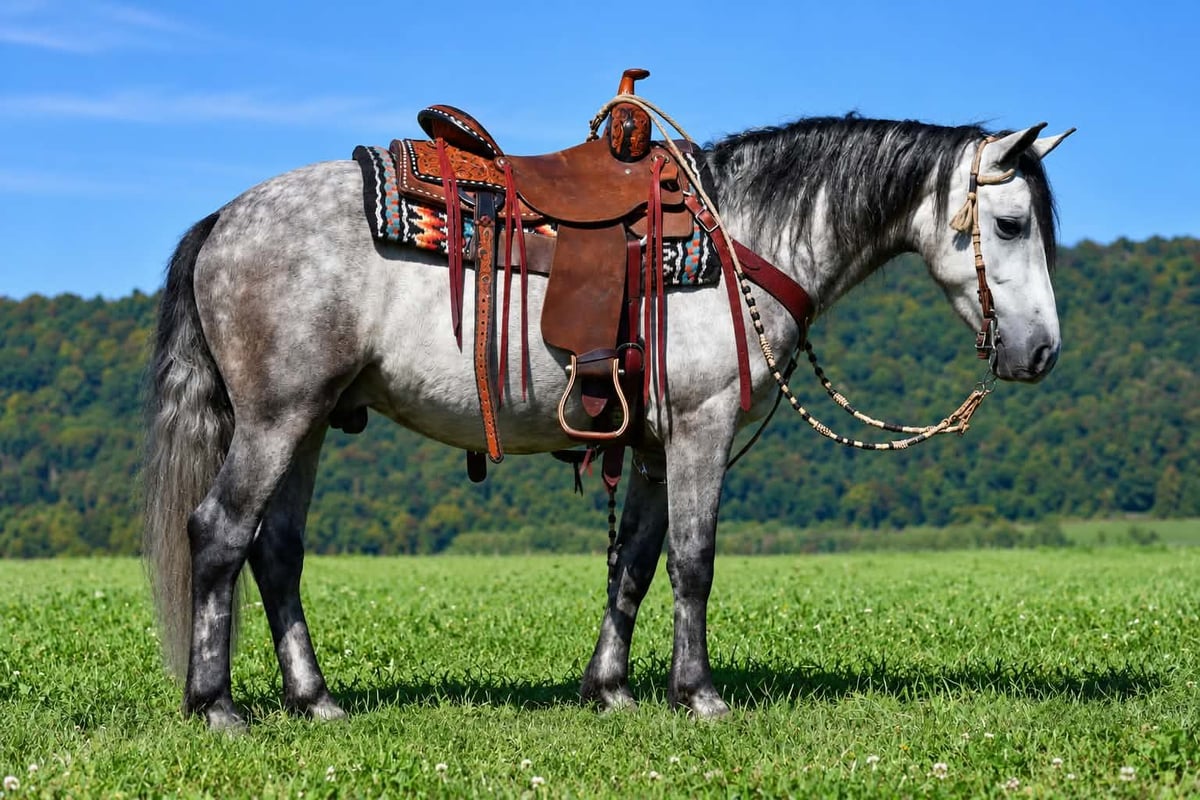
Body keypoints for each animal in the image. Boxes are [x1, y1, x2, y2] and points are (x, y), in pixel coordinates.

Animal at [143, 108, 1073, 730]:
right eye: (1010, 224)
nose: (1041, 353)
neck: (741, 238)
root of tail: (224, 219)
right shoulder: (701, 429)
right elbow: (694, 561)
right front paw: (699, 694)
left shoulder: (655, 446)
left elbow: (635, 561)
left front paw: (612, 688)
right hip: (275, 420)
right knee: (220, 532)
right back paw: (215, 705)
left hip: (306, 424)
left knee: (276, 551)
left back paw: (315, 700)